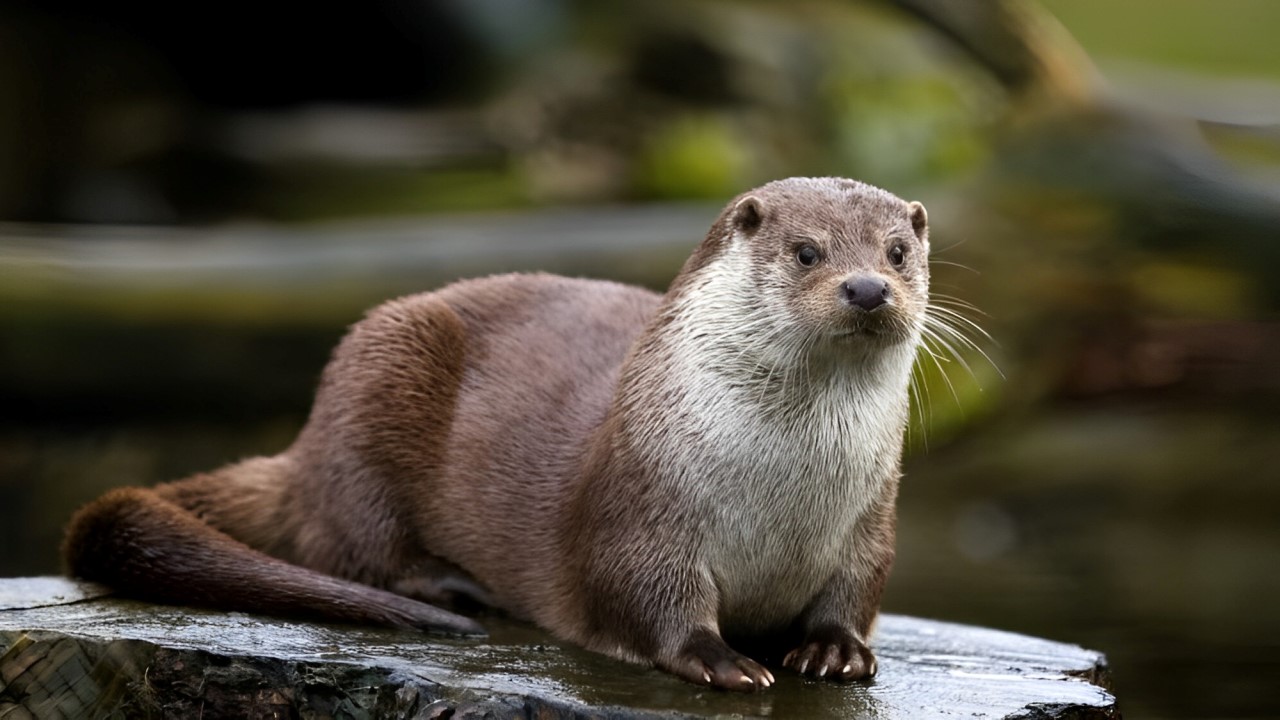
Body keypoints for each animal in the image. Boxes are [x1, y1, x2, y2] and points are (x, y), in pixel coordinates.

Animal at [62, 175, 931, 691]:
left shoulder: (872, 522)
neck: (783, 496)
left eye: (899, 252)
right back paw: (451, 587)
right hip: (374, 379)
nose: (867, 288)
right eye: (807, 252)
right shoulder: (639, 510)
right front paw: (723, 661)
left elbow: (858, 591)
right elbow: (645, 597)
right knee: (345, 544)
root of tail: (304, 450)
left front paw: (833, 650)